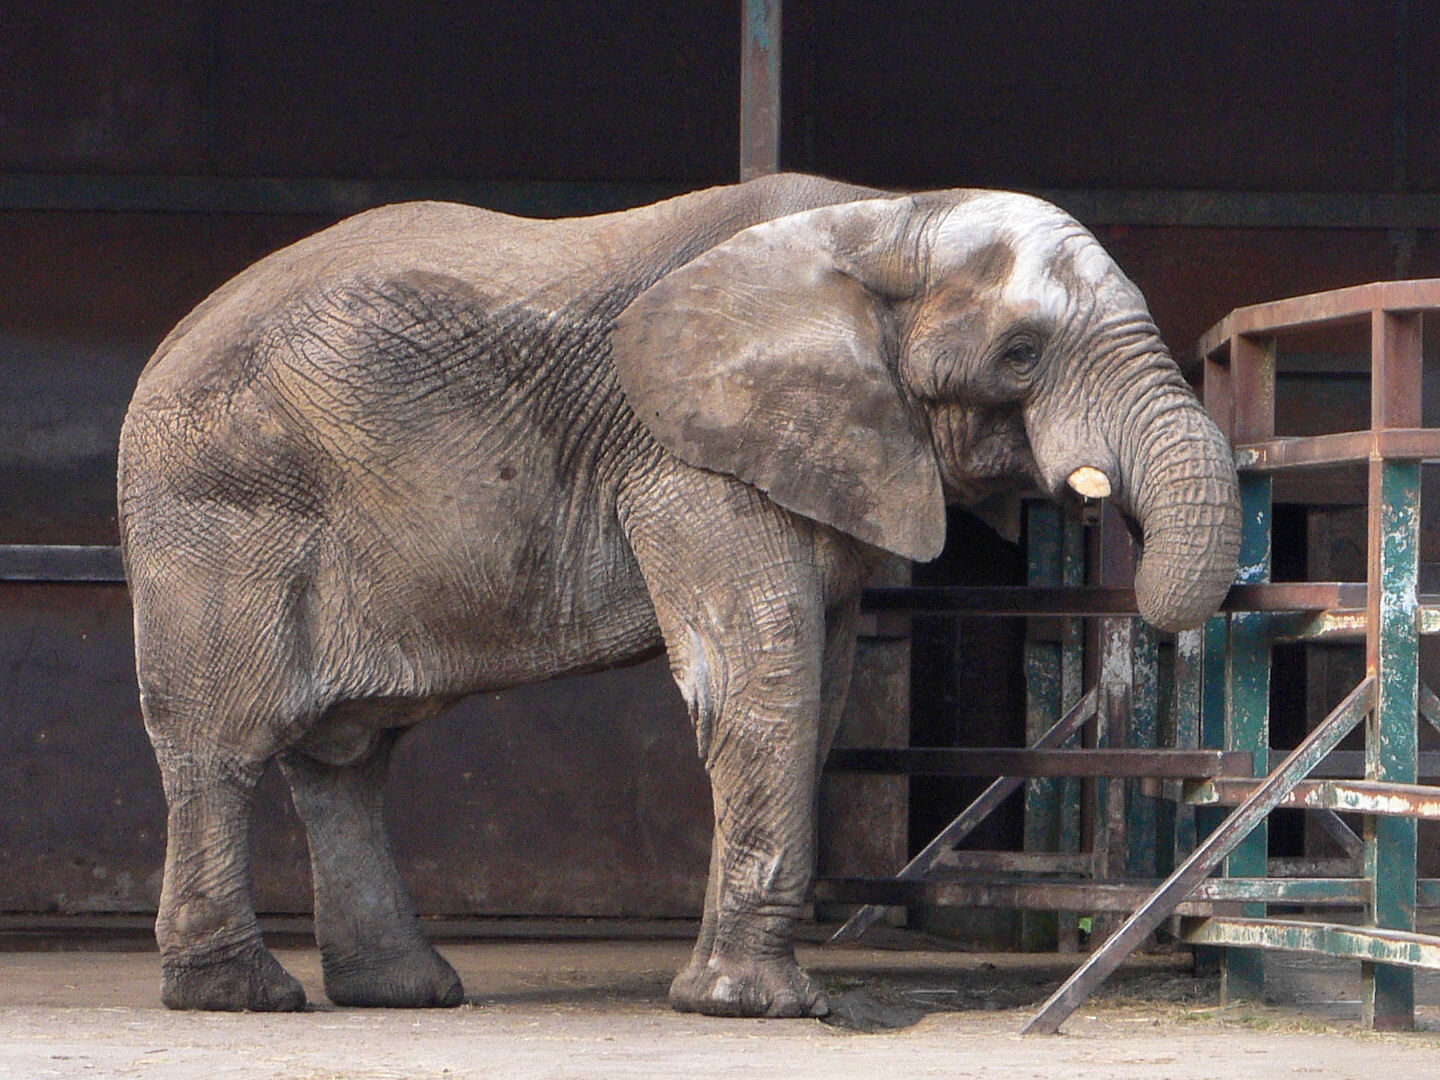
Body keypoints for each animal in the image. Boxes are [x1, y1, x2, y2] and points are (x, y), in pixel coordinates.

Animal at [117, 172, 1240, 1017]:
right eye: (1020, 354)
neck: (885, 220)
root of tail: (166, 344)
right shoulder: (688, 461)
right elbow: (763, 678)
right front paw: (760, 1008)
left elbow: (824, 683)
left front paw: (736, 993)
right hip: (220, 508)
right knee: (222, 742)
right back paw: (240, 995)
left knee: (348, 755)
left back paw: (405, 991)